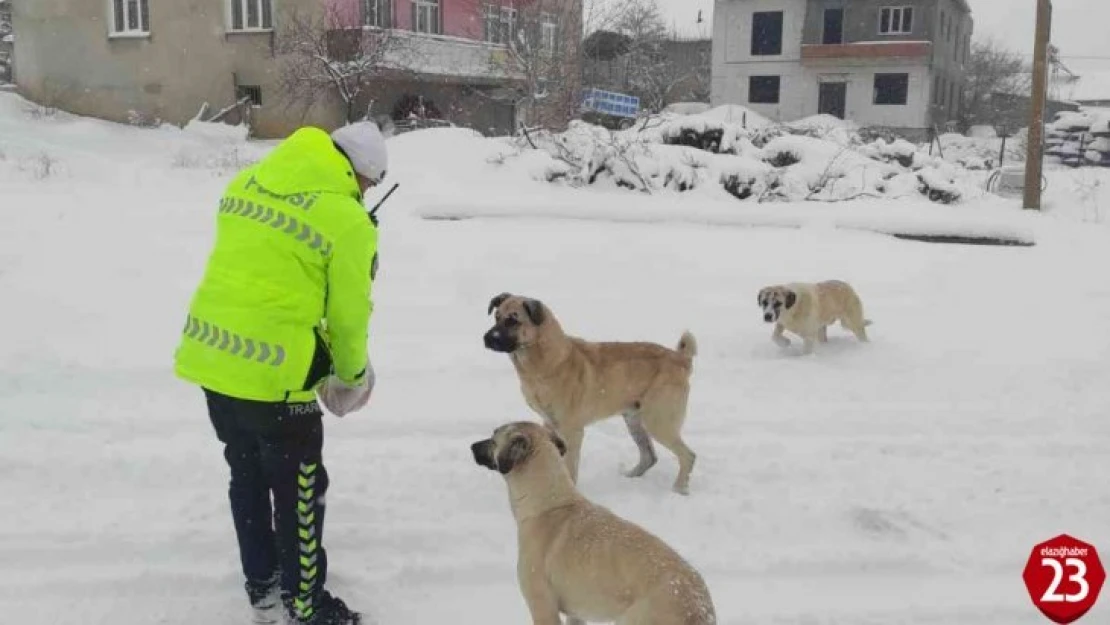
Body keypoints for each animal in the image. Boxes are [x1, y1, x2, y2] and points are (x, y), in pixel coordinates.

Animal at [470, 419, 719, 625]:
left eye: (493, 438)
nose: (471, 446)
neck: (549, 502)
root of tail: (699, 607)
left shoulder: (543, 607)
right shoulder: (575, 614)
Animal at [481, 293, 697, 495]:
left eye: (513, 320)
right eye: (497, 317)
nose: (486, 338)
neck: (549, 361)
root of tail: (681, 359)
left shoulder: (572, 431)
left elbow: (569, 467)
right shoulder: (549, 424)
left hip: (658, 421)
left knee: (688, 456)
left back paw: (679, 490)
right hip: (633, 419)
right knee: (650, 456)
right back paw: (630, 477)